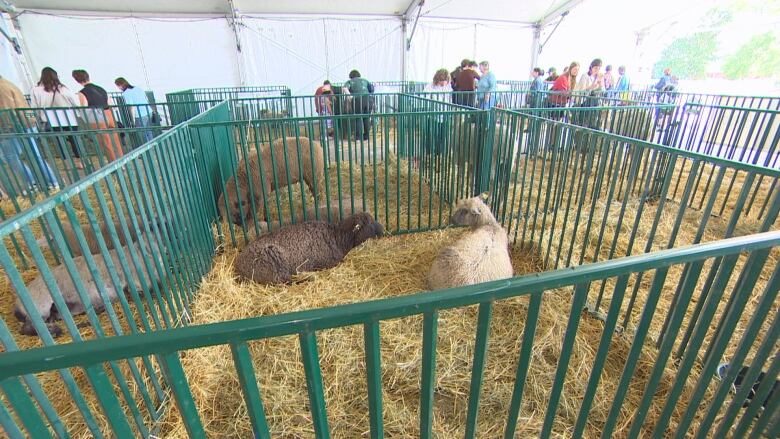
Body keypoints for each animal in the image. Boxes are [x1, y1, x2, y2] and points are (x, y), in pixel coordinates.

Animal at [235, 212, 386, 286]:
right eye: (370, 223)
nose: (383, 230)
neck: (338, 236)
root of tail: (238, 269)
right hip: (273, 266)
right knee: (283, 281)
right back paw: (307, 279)